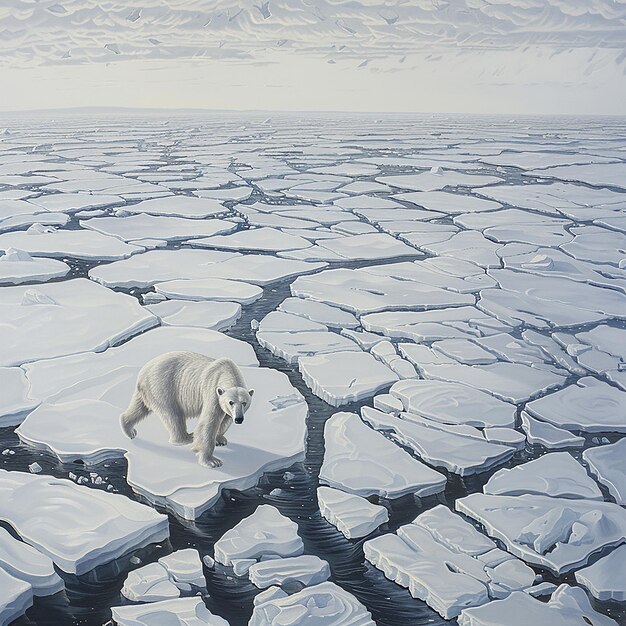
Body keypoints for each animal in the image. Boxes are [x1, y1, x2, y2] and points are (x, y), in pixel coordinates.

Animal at [118, 352, 252, 468]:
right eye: (231, 402)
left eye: (244, 403)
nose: (239, 419)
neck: (227, 372)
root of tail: (142, 372)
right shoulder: (212, 392)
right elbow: (208, 423)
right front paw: (212, 461)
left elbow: (225, 419)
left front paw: (220, 439)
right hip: (163, 387)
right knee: (173, 415)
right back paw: (186, 437)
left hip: (148, 391)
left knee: (139, 408)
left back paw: (129, 429)